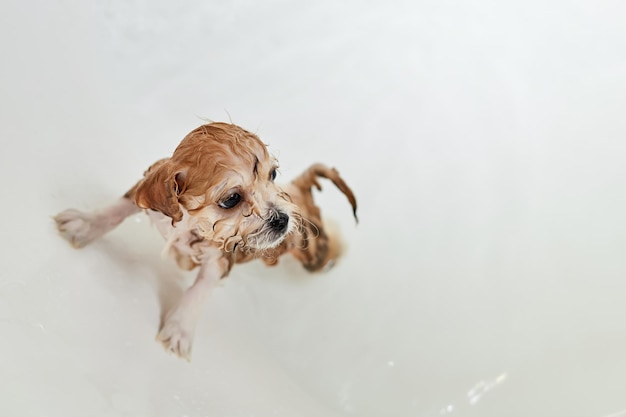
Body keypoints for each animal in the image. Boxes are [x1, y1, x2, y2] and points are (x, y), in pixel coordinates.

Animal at [54, 122, 356, 360]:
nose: (282, 220)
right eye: (231, 199)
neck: (191, 222)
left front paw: (179, 329)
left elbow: (198, 291)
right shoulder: (147, 197)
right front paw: (86, 224)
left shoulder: (219, 259)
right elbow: (115, 210)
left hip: (313, 252)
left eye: (272, 175)